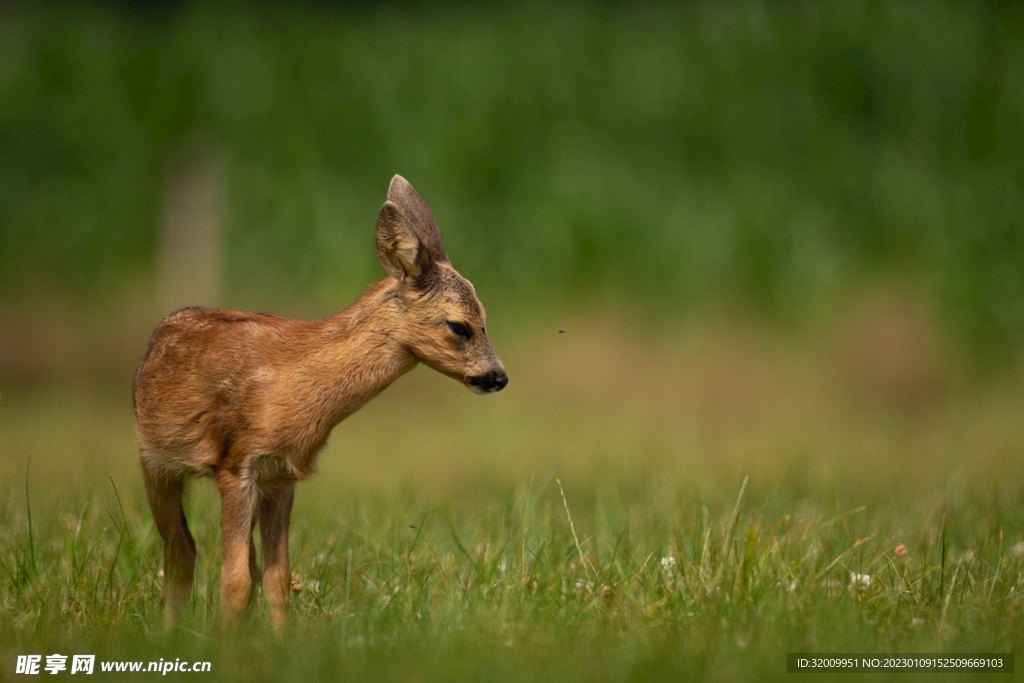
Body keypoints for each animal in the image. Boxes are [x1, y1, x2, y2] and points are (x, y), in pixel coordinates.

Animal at [133, 175, 507, 629]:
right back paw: (169, 634)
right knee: (180, 553)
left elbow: (277, 577)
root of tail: (157, 336)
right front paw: (228, 643)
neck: (292, 393)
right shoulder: (237, 464)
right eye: (459, 325)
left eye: (485, 318)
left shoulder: (282, 475)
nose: (498, 376)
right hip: (154, 462)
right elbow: (235, 581)